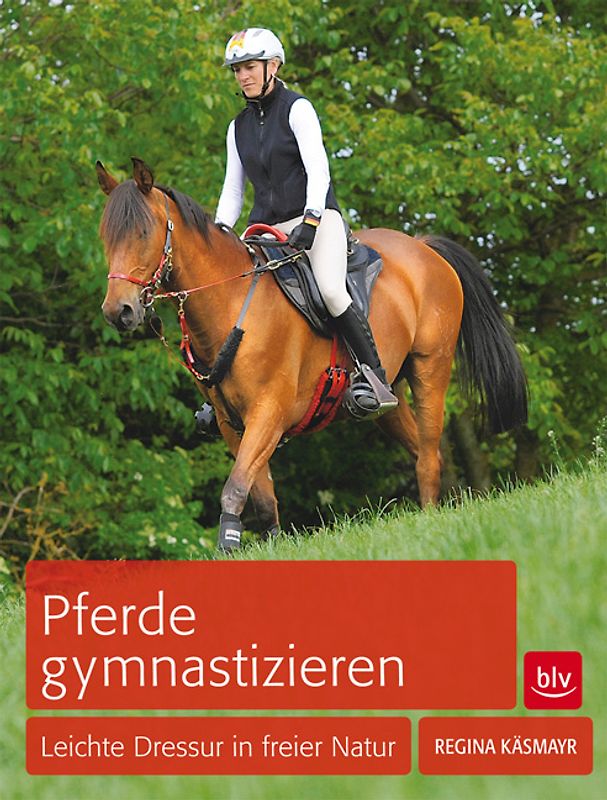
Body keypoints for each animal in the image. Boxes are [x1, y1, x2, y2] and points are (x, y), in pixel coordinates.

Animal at [97, 157, 528, 550]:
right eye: (105, 235)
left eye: (144, 232)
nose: (119, 312)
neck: (233, 301)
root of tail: (423, 247)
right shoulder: (231, 423)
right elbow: (261, 497)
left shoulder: (269, 413)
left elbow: (235, 488)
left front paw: (228, 547)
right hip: (391, 398)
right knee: (424, 447)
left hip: (430, 370)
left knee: (427, 455)